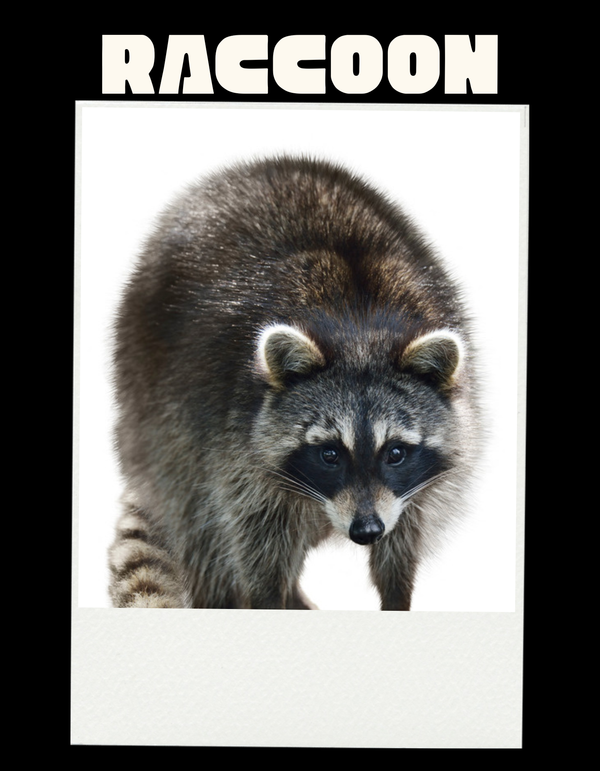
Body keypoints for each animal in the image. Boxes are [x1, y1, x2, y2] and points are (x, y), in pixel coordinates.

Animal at [109, 155, 481, 610]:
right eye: (329, 453)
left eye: (395, 452)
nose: (366, 532)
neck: (358, 328)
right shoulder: (231, 441)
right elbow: (252, 536)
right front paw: (269, 597)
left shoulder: (413, 484)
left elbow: (405, 531)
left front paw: (396, 592)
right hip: (154, 400)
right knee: (201, 527)